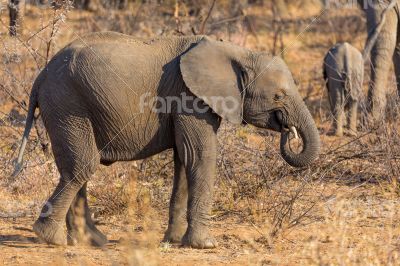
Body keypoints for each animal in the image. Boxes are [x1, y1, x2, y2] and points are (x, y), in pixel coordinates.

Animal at [15, 32, 320, 248]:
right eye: (279, 96)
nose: (288, 131)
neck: (238, 52)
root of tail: (41, 75)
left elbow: (184, 160)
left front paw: (174, 241)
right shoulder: (190, 97)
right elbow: (199, 155)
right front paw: (205, 245)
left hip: (67, 106)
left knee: (76, 166)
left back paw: (91, 241)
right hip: (68, 104)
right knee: (82, 165)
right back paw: (51, 238)